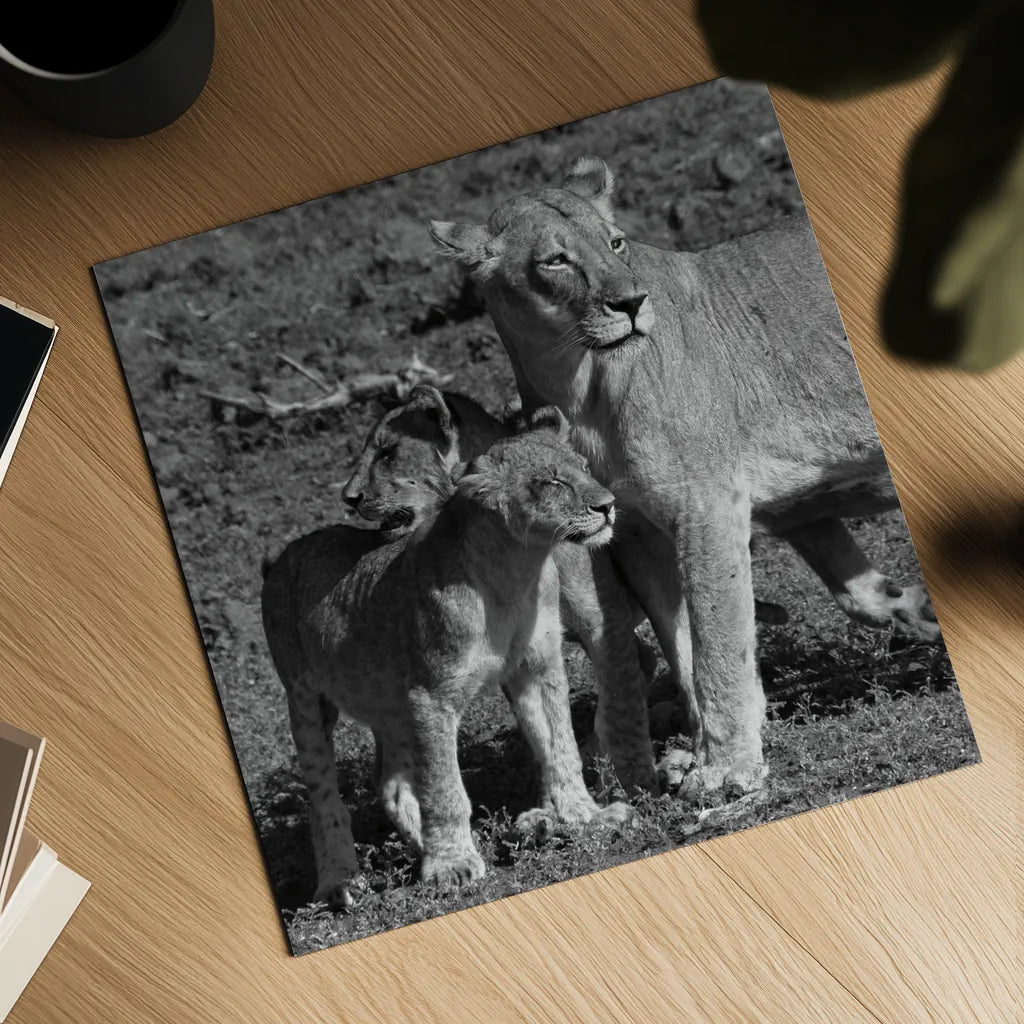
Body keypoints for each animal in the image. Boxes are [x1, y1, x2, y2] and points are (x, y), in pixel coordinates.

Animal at [262, 411, 631, 908]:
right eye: (551, 481)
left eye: (585, 468)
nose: (607, 505)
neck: (518, 569)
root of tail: (282, 555)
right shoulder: (431, 695)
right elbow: (444, 785)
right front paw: (451, 865)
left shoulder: (538, 668)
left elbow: (562, 747)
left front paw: (585, 815)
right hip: (306, 699)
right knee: (323, 798)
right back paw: (341, 882)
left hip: (390, 703)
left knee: (391, 784)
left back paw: (429, 848)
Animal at [429, 156, 940, 803]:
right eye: (555, 260)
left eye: (616, 243)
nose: (629, 303)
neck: (577, 383)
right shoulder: (634, 530)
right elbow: (685, 644)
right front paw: (698, 755)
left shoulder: (708, 502)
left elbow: (718, 634)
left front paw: (726, 768)